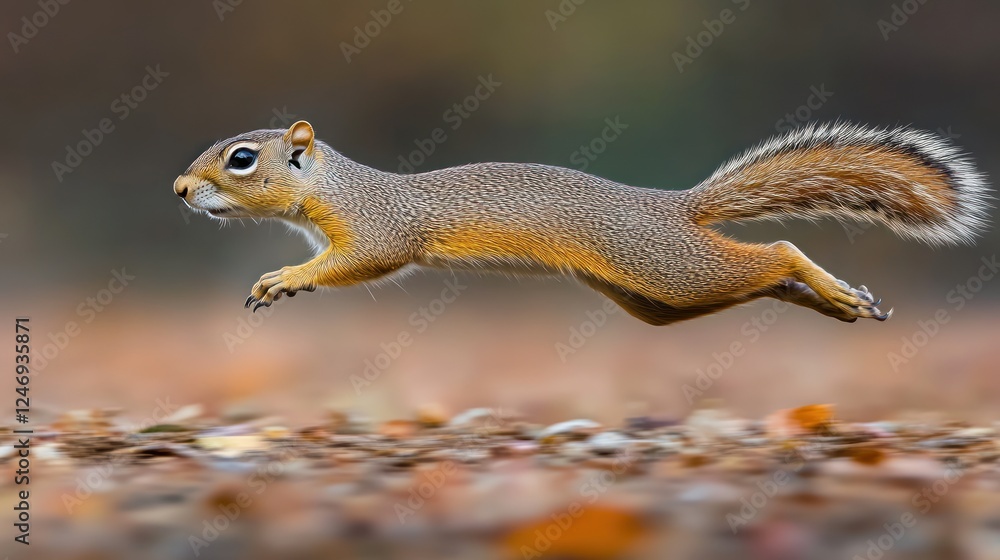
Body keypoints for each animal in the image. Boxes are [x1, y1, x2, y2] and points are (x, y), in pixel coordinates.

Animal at [174, 121, 989, 325]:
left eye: (242, 160)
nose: (180, 189)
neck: (338, 188)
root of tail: (675, 207)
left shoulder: (380, 229)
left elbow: (362, 261)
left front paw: (284, 277)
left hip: (667, 265)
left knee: (780, 249)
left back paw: (831, 287)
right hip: (656, 297)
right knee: (760, 278)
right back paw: (829, 300)